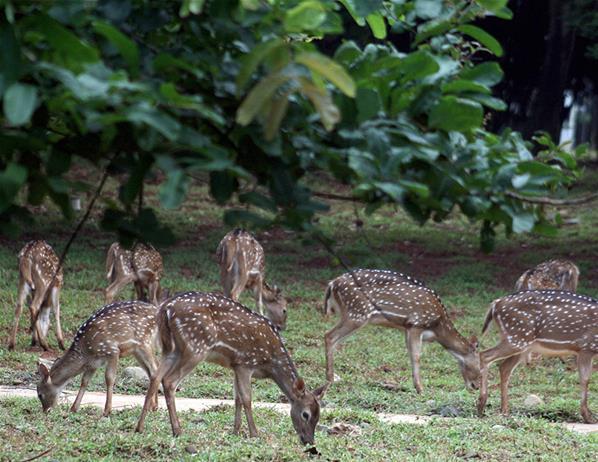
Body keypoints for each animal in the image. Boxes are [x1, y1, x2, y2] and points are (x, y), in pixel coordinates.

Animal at [136, 290, 324, 446]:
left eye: (318, 416)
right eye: (305, 414)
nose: (309, 441)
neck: (271, 364)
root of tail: (165, 308)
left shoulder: (235, 365)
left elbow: (237, 398)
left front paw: (236, 431)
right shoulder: (246, 363)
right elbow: (247, 398)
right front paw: (254, 434)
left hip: (170, 349)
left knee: (155, 376)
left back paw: (140, 427)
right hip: (196, 346)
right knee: (169, 381)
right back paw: (177, 430)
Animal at [322, 268, 480, 396]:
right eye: (479, 366)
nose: (476, 386)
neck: (438, 327)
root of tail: (332, 284)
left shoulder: (407, 328)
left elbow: (410, 354)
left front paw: (416, 387)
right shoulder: (417, 323)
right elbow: (416, 356)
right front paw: (421, 390)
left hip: (350, 313)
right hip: (357, 313)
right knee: (329, 336)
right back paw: (330, 379)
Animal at [478, 290, 598, 424]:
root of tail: (495, 303)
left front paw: (588, 415)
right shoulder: (586, 347)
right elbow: (585, 379)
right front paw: (588, 417)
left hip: (521, 343)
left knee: (504, 367)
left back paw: (504, 411)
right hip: (517, 337)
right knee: (484, 355)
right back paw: (481, 405)